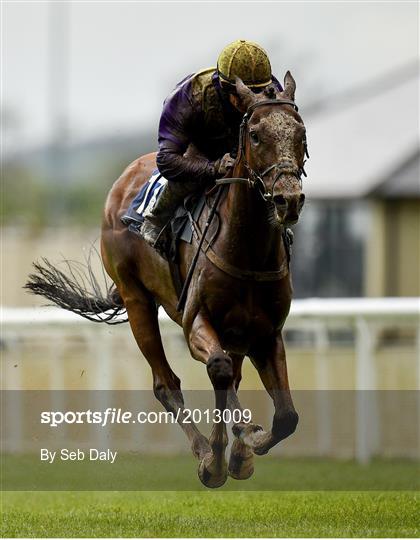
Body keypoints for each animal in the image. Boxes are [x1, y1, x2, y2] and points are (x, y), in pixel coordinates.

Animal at [27, 73, 308, 490]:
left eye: (300, 132)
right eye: (256, 135)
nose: (288, 200)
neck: (248, 248)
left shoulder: (267, 333)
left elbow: (286, 416)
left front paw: (246, 446)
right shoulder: (195, 322)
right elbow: (219, 370)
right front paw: (223, 453)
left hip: (235, 331)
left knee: (232, 376)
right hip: (136, 299)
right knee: (169, 383)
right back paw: (209, 453)